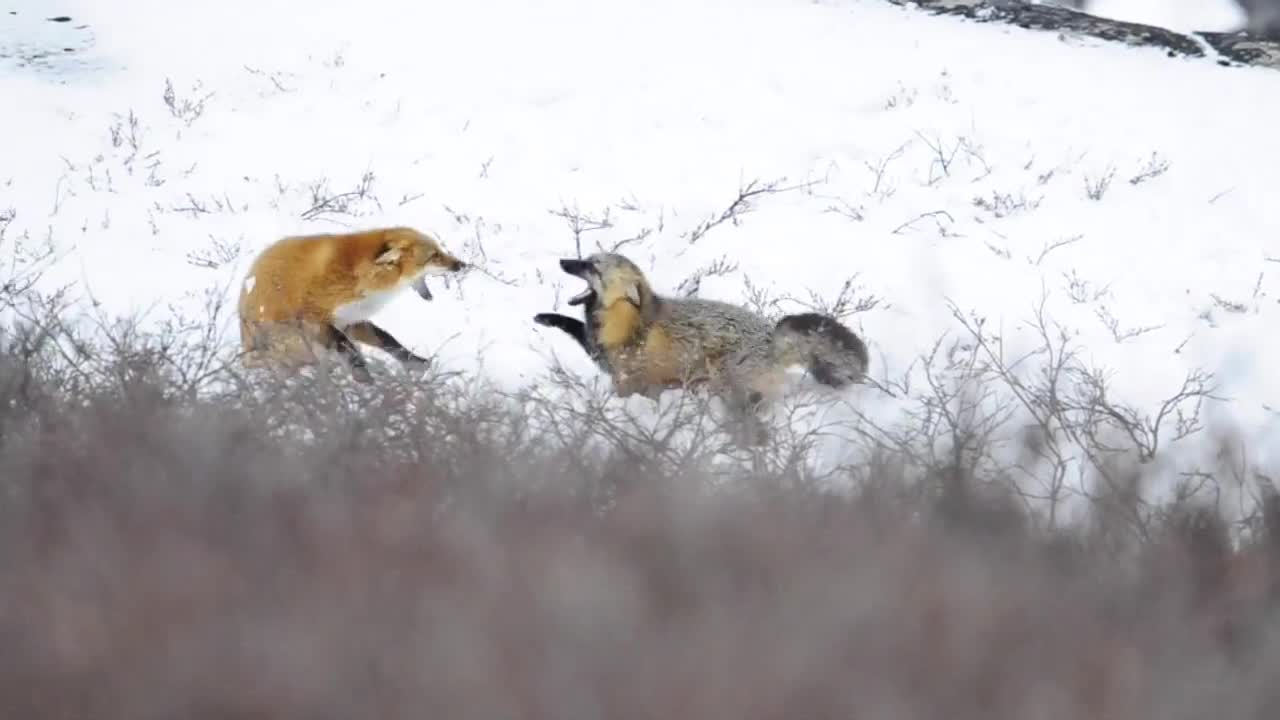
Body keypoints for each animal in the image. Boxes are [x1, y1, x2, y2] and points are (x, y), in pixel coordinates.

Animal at [238, 225, 468, 381]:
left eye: (440, 251)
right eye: (434, 256)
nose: (462, 264)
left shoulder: (351, 320)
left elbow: (388, 341)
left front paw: (417, 363)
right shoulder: (315, 318)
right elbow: (347, 348)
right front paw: (365, 379)